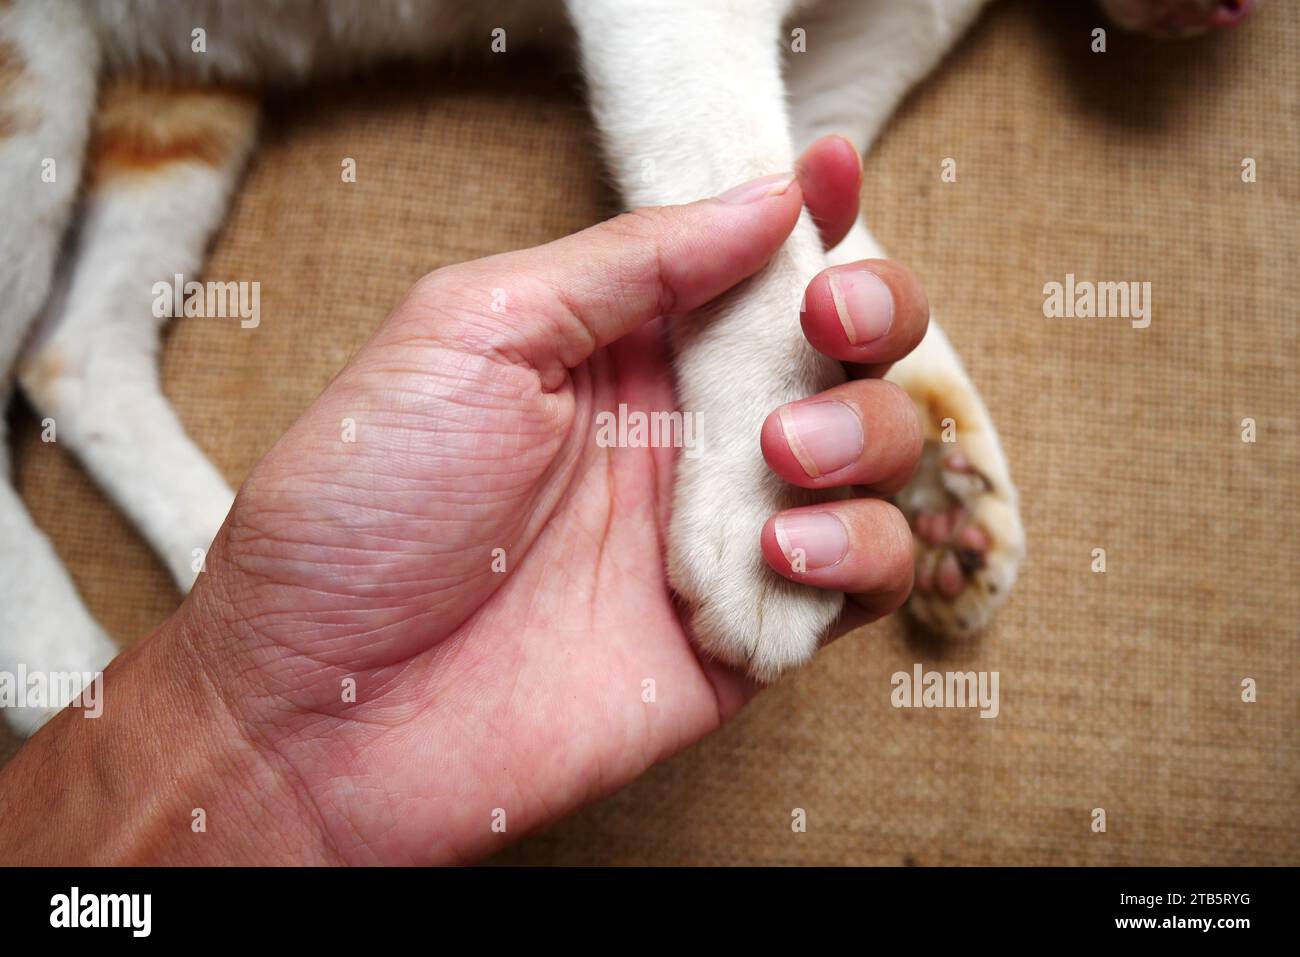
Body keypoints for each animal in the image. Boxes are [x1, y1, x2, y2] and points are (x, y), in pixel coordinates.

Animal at [0, 0, 1248, 733]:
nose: (1217, 9)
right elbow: (759, 226)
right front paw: (766, 521)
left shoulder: (854, 59)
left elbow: (832, 234)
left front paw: (943, 485)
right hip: (27, 84)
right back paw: (59, 673)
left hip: (181, 102)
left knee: (75, 354)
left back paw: (209, 566)